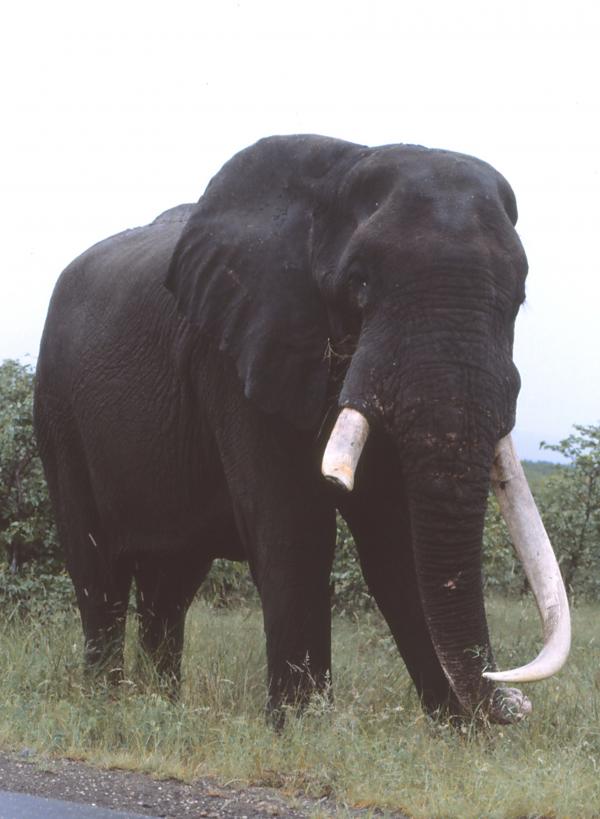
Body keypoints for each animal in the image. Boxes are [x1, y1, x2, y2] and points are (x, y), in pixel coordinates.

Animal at [34, 134, 570, 725]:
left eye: (518, 299)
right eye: (359, 283)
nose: (515, 700)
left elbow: (396, 538)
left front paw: (457, 731)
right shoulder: (241, 351)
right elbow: (294, 523)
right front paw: (302, 727)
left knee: (170, 579)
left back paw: (161, 705)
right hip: (57, 409)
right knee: (97, 567)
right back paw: (107, 705)